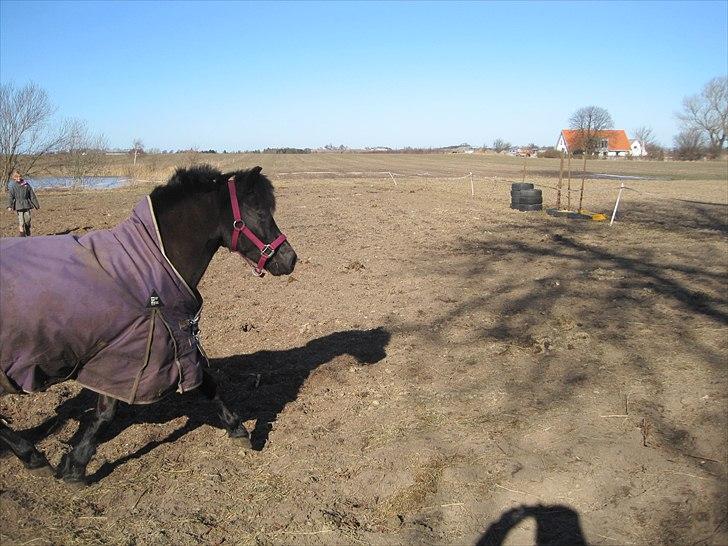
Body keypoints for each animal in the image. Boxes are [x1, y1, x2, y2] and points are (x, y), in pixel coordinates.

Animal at [0, 165, 297, 485]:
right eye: (260, 212)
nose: (290, 259)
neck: (150, 267)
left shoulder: (172, 342)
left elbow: (207, 383)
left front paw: (237, 429)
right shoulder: (129, 352)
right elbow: (106, 413)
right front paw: (75, 467)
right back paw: (33, 457)